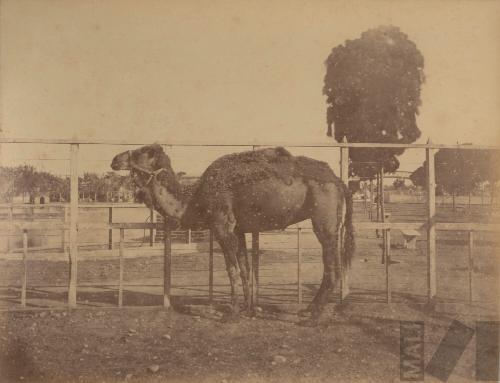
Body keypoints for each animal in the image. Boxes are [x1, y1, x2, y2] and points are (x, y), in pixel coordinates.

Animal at [112, 144, 356, 320]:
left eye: (141, 151)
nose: (115, 159)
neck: (194, 201)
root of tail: (339, 182)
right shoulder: (238, 230)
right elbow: (245, 269)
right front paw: (250, 309)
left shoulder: (223, 226)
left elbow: (232, 270)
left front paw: (233, 312)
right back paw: (310, 309)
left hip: (324, 221)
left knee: (331, 267)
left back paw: (313, 314)